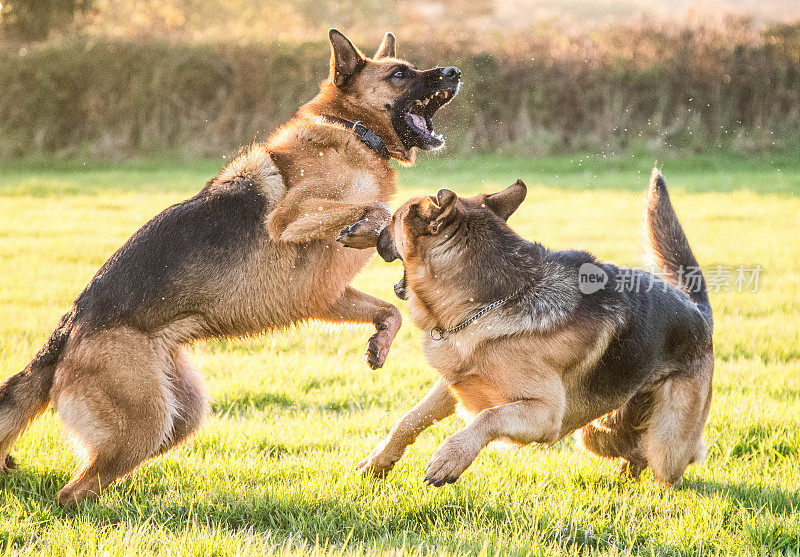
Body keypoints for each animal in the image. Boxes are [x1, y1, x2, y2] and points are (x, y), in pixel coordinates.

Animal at [0, 31, 460, 508]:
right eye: (400, 74)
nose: (455, 72)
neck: (352, 131)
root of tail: (67, 330)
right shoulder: (289, 219)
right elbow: (376, 209)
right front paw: (365, 230)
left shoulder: (323, 296)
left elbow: (390, 312)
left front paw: (379, 343)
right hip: (144, 422)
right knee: (73, 492)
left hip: (179, 414)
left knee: (97, 478)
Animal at [356, 169, 712, 486]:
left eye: (393, 220)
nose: (373, 234)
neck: (490, 303)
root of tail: (698, 310)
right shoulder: (456, 383)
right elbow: (409, 420)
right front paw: (377, 462)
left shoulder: (543, 414)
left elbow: (488, 417)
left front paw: (450, 458)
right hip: (598, 432)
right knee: (635, 454)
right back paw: (626, 473)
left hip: (666, 445)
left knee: (675, 461)